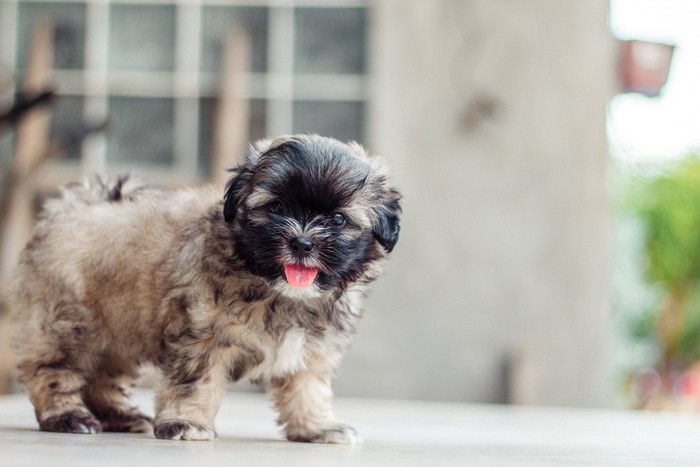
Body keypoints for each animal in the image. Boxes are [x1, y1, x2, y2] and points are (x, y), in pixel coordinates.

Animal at [9, 134, 400, 442]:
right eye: (276, 207)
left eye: (338, 219)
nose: (302, 243)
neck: (277, 290)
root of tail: (71, 208)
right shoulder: (202, 338)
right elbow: (195, 381)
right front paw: (186, 422)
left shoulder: (311, 349)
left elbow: (308, 388)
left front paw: (317, 427)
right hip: (65, 323)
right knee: (53, 372)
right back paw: (66, 416)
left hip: (118, 331)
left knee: (102, 378)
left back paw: (119, 416)